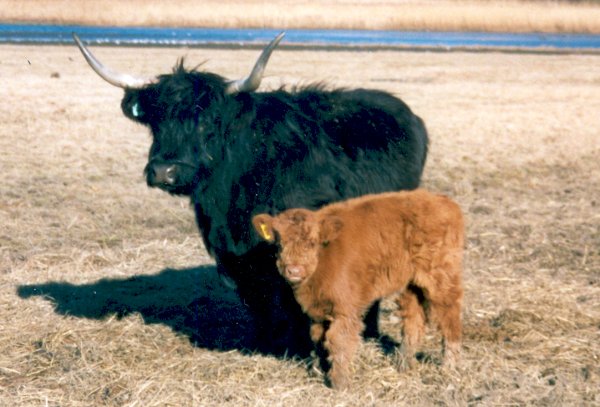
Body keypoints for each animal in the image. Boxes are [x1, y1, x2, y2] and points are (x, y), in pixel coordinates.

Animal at [75, 32, 428, 356]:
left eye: (208, 121)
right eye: (155, 121)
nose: (164, 171)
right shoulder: (233, 253)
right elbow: (258, 298)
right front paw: (264, 342)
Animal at [252, 190, 464, 390]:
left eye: (312, 243)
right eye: (279, 244)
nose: (294, 270)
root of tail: (443, 200)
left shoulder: (346, 309)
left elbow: (338, 340)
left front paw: (340, 384)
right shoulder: (317, 312)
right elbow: (319, 339)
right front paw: (319, 372)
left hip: (441, 278)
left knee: (449, 316)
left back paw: (449, 367)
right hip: (412, 284)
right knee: (413, 319)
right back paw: (403, 365)